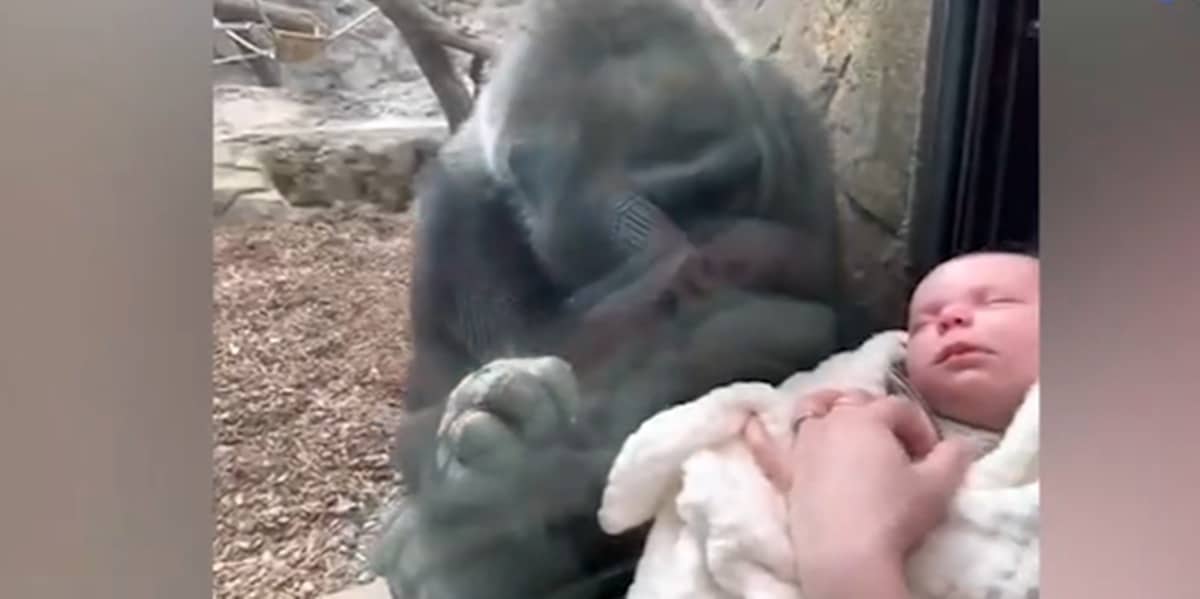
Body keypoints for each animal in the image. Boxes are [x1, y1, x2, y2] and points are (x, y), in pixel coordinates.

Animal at [369, 1, 859, 599]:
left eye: (729, 188)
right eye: (672, 205)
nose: (717, 257)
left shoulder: (791, 127)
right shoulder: (452, 215)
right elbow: (421, 425)